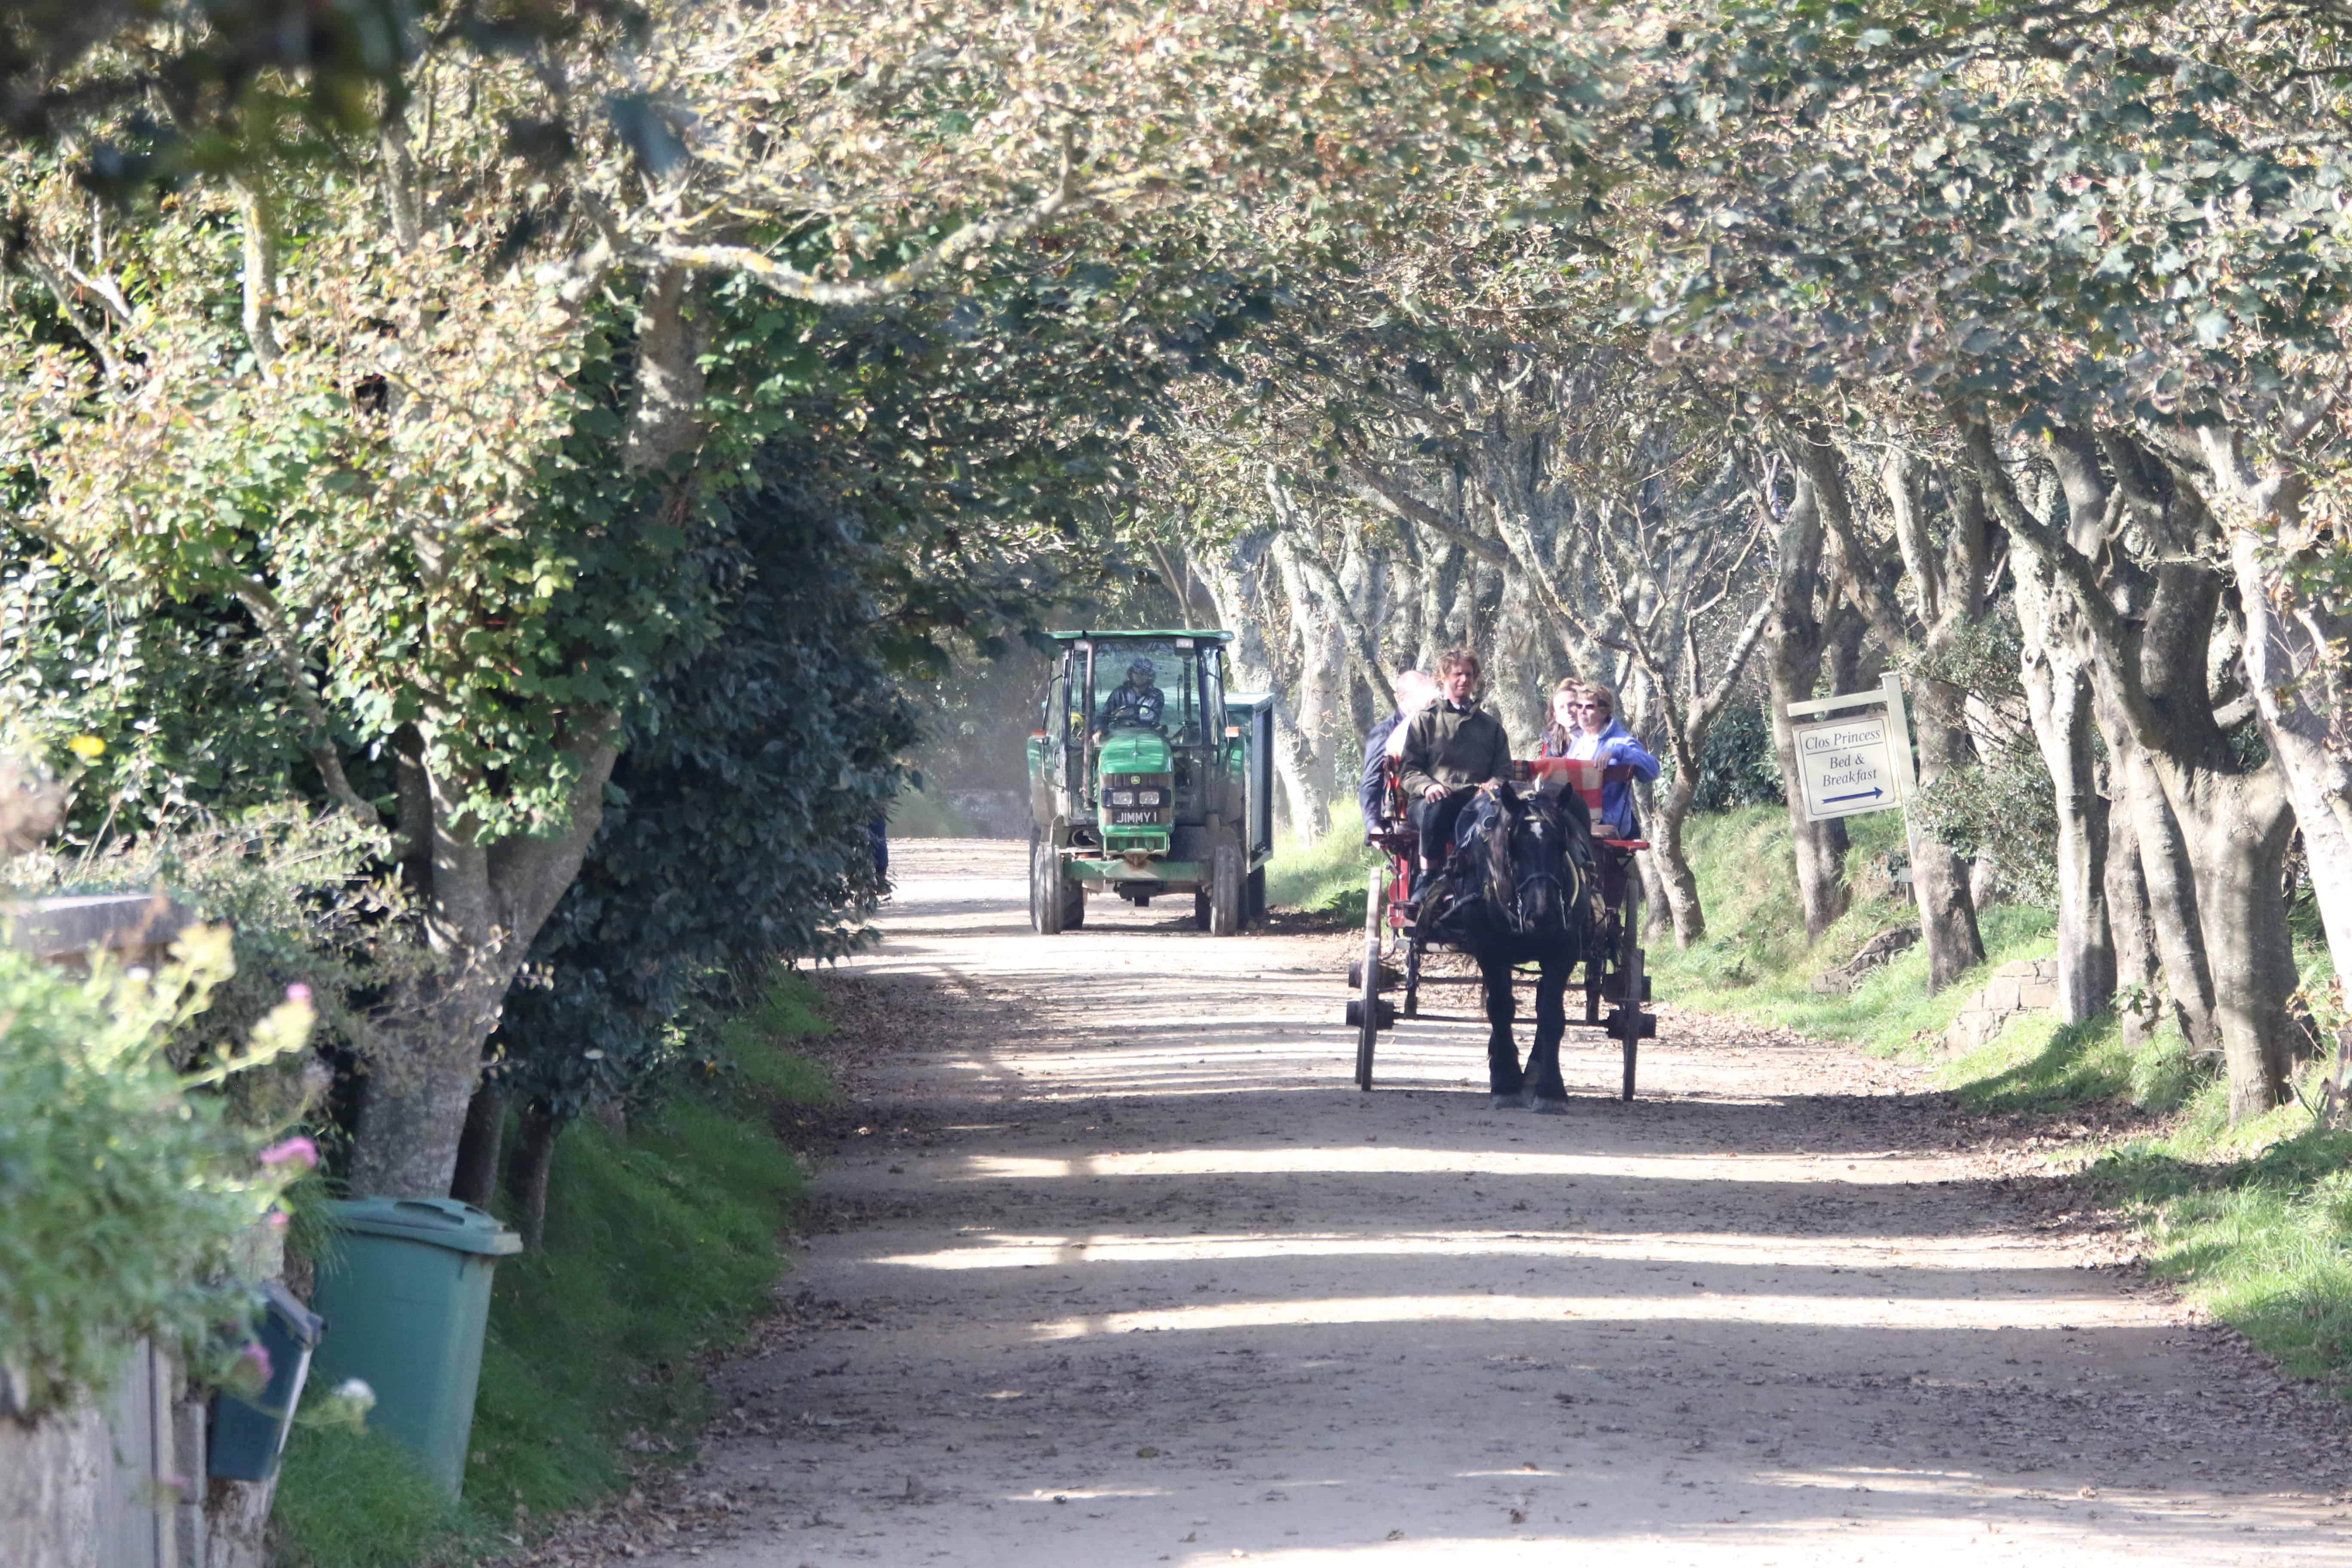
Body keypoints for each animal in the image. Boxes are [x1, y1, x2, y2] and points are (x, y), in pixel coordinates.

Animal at [1411, 780, 1599, 1109]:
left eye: (1561, 845)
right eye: (1515, 847)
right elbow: (1500, 1008)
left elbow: (1551, 1014)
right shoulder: (1488, 950)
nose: (1544, 914)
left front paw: (1550, 1090)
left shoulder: (1563, 950)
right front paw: (1505, 1082)